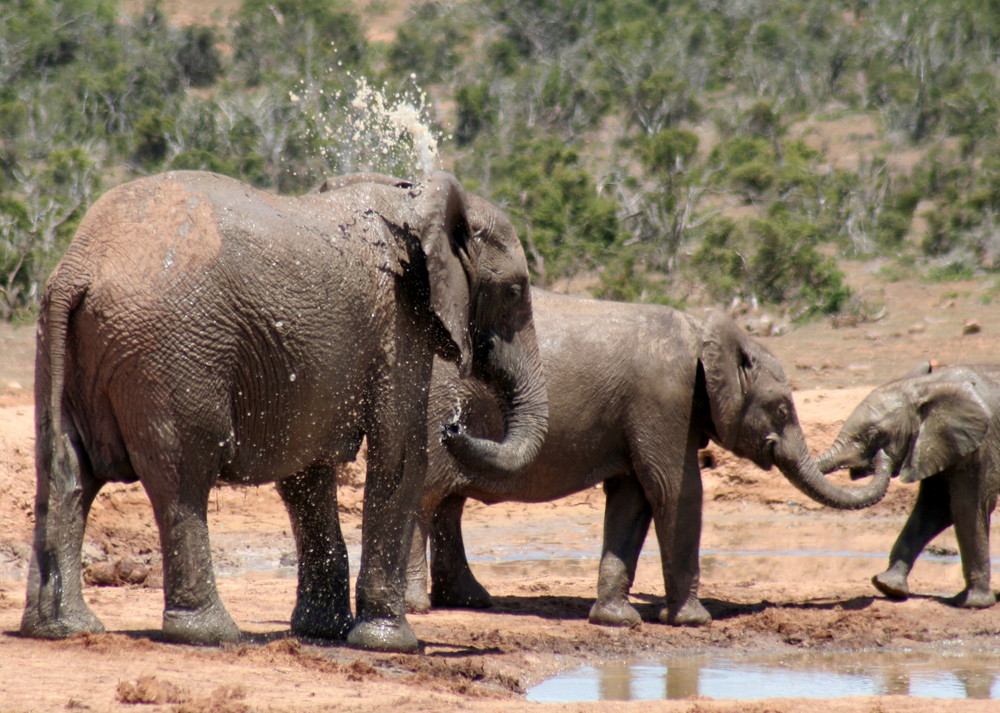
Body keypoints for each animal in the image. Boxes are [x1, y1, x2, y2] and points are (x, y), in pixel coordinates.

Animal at [17, 170, 548, 652]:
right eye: (515, 291)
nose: (454, 427)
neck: (416, 198)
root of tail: (80, 266)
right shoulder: (400, 322)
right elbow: (400, 454)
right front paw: (392, 644)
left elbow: (306, 466)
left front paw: (323, 631)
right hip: (170, 353)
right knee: (182, 476)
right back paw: (211, 635)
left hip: (66, 341)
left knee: (68, 472)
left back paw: (64, 629)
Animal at [406, 286, 892, 624]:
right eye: (783, 409)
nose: (880, 453)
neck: (705, 332)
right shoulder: (665, 397)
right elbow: (677, 491)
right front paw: (694, 622)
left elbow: (632, 498)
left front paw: (616, 621)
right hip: (435, 402)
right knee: (424, 498)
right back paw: (419, 607)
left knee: (449, 504)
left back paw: (469, 601)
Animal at [820, 364, 1000, 608]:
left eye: (874, 435)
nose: (881, 457)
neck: (928, 385)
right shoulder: (937, 445)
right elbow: (936, 507)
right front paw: (888, 586)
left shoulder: (982, 444)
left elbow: (968, 507)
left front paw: (972, 603)